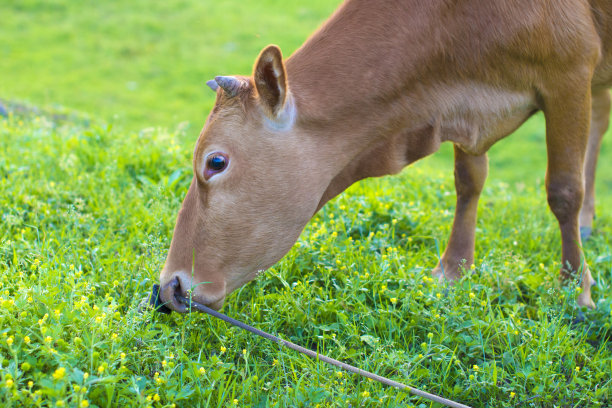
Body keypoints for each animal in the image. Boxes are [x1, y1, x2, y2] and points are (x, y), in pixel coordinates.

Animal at [159, 0, 612, 310]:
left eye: (216, 162)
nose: (167, 287)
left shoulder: (570, 71)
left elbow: (563, 190)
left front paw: (576, 289)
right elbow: (468, 181)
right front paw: (453, 269)